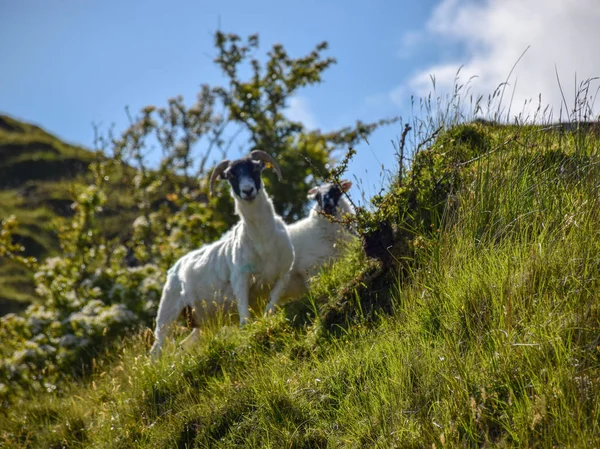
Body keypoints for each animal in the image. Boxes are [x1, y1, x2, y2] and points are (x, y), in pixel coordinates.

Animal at [148, 150, 292, 356]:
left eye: (256, 168)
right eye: (231, 175)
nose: (248, 191)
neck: (263, 241)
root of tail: (174, 268)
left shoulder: (283, 275)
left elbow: (270, 307)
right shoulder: (240, 279)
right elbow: (245, 318)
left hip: (203, 323)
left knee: (184, 345)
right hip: (167, 312)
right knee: (156, 349)